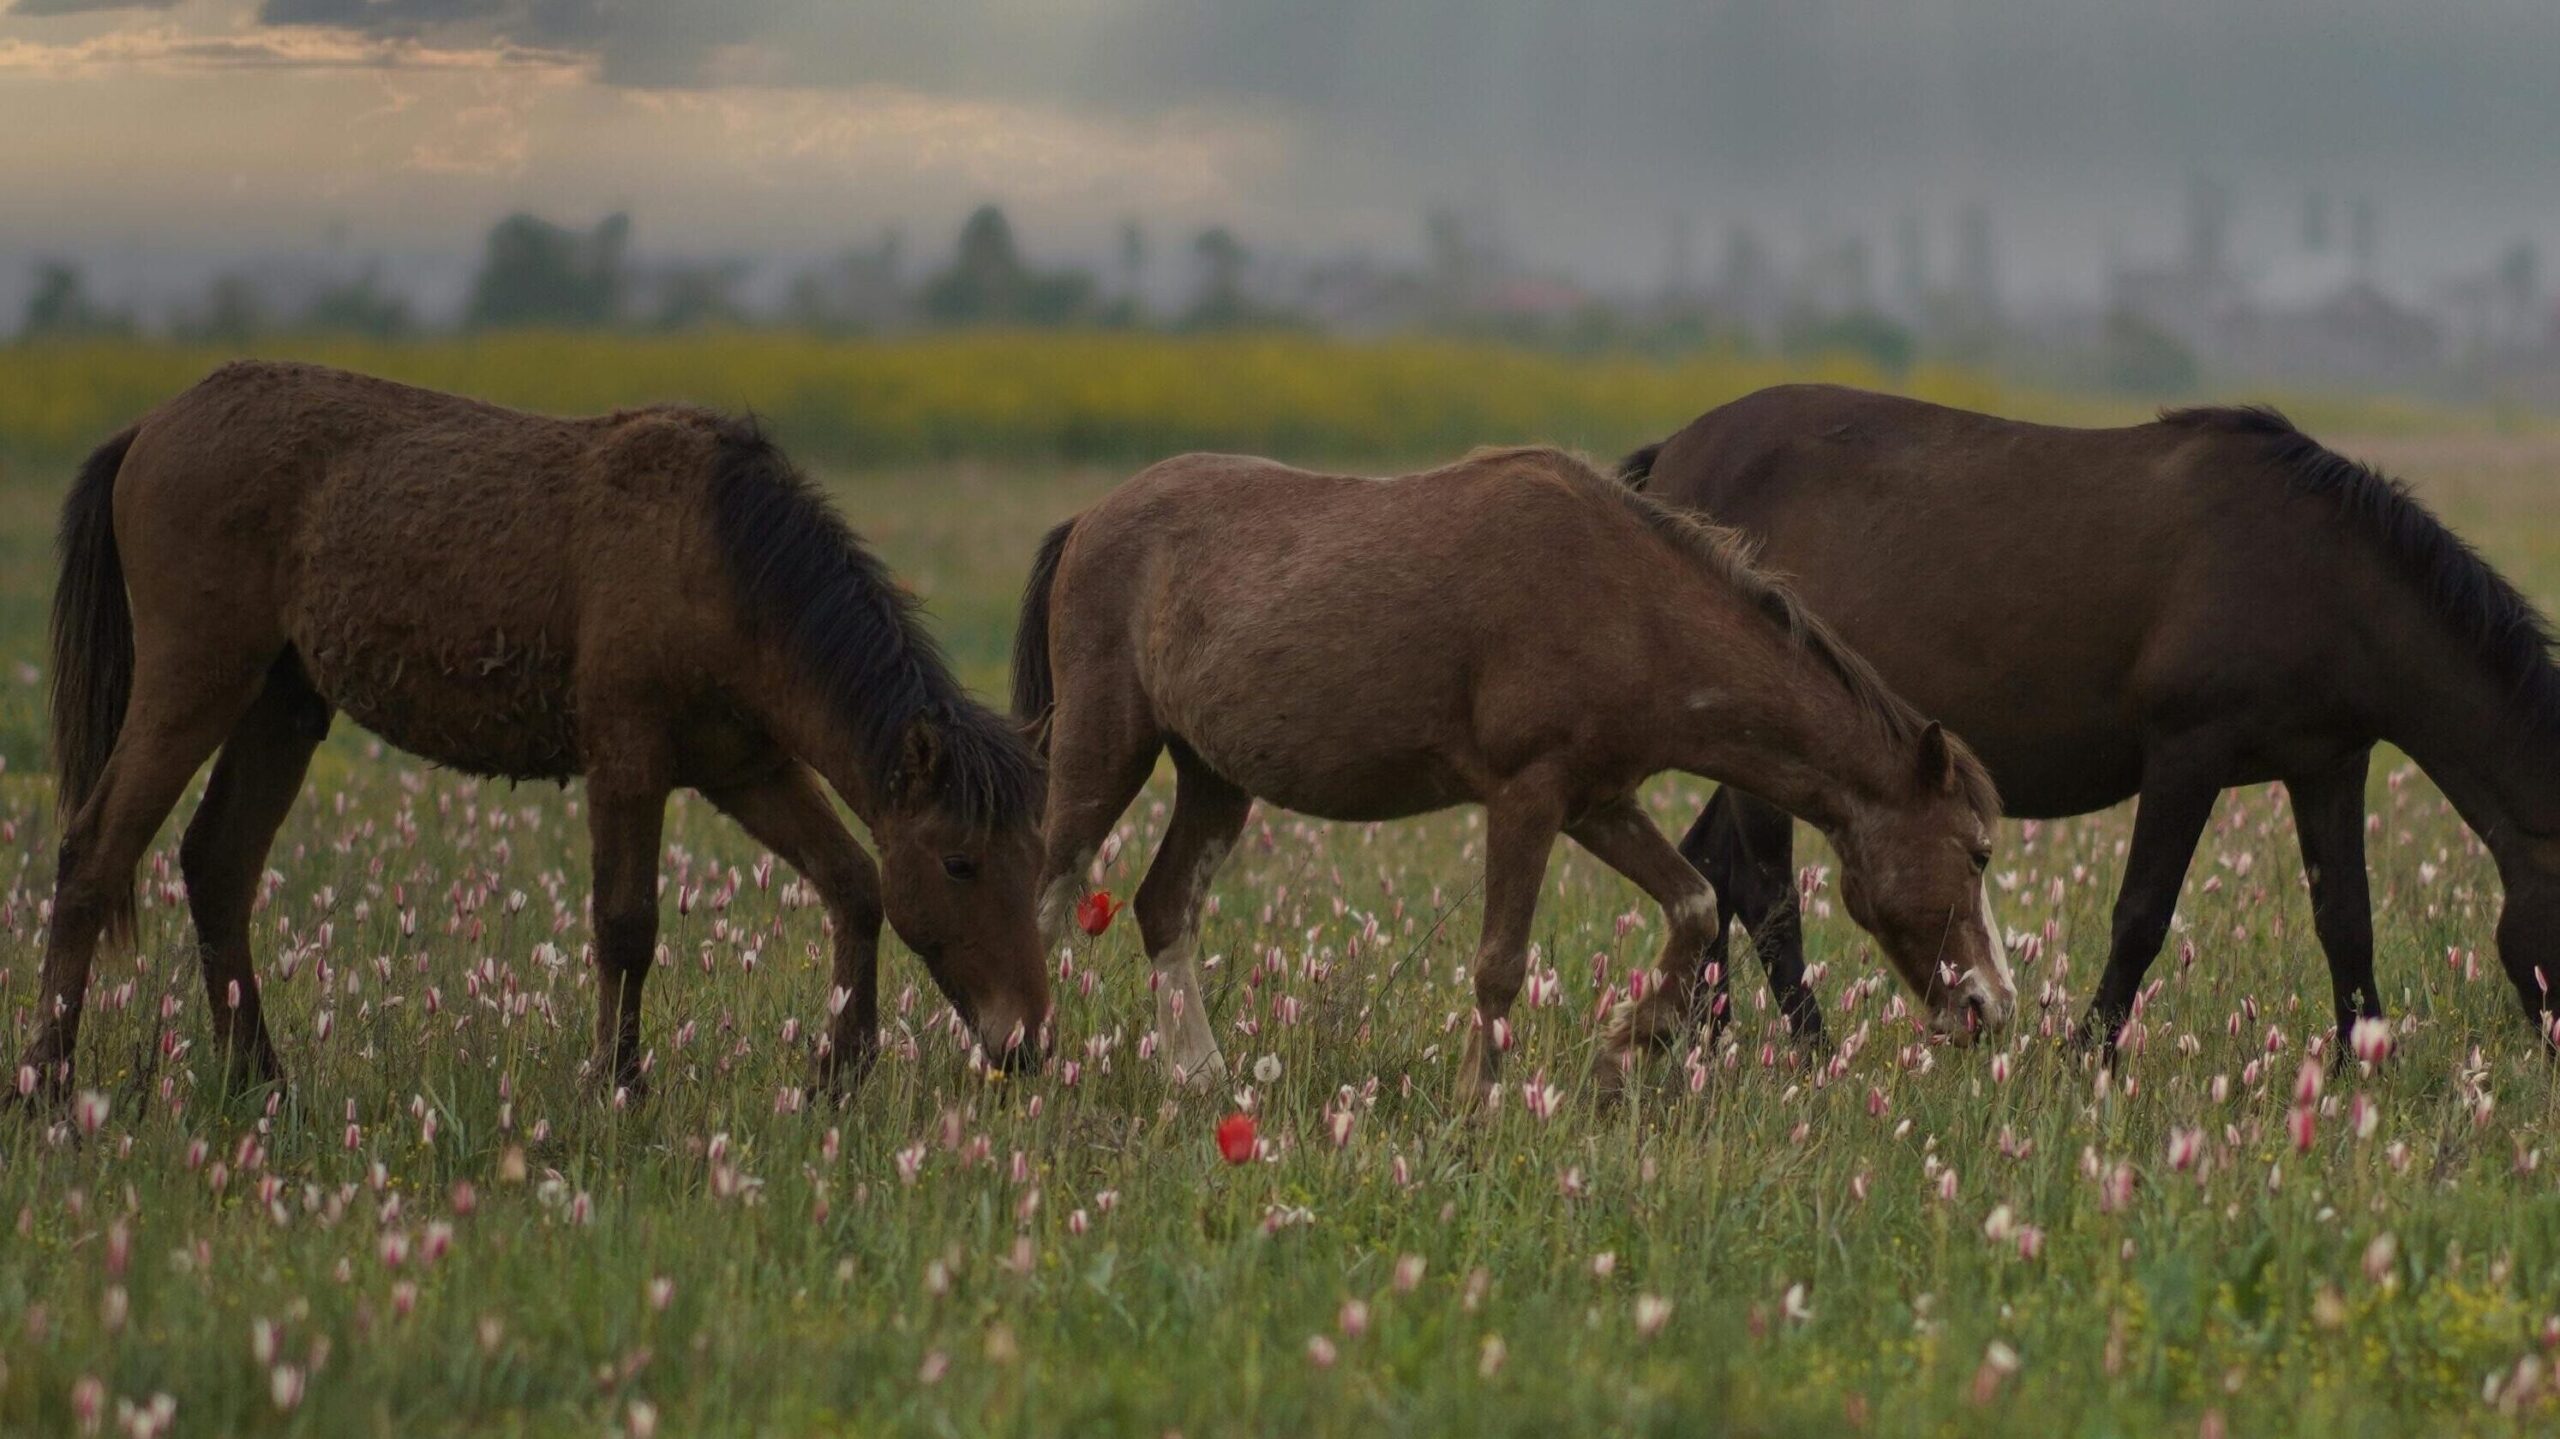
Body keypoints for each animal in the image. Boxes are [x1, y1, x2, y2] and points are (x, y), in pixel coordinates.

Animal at [1617, 381, 2560, 1054]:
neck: (2322, 575)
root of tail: (1671, 459)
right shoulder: (2188, 751)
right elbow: (2142, 913)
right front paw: (2087, 1056)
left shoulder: (2327, 762)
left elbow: (2347, 922)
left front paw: (2361, 1066)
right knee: (1767, 889)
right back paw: (1807, 1051)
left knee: (1716, 872)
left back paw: (1701, 1041)